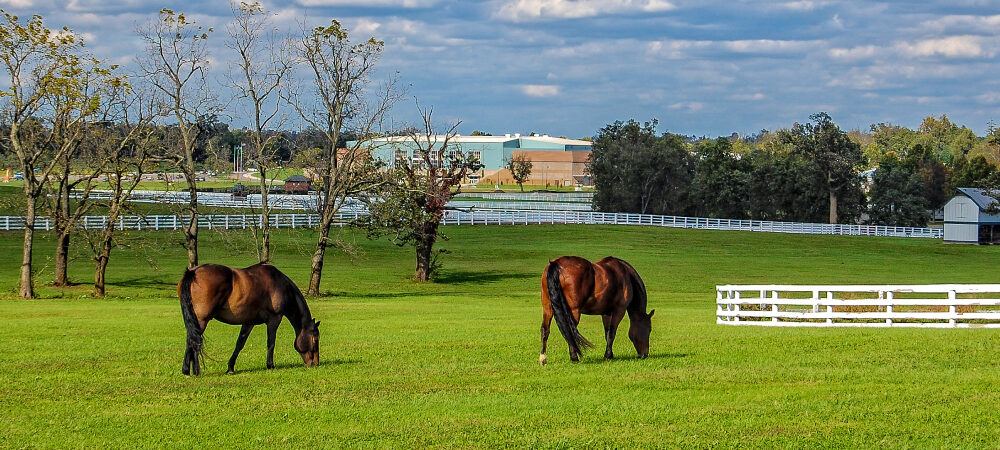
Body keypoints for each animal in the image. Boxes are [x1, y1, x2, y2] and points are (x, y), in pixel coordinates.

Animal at [177, 263, 320, 376]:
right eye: (315, 339)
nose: (315, 363)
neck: (280, 285)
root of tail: (193, 272)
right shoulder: (274, 319)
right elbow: (271, 342)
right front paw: (270, 365)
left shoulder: (248, 322)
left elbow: (240, 344)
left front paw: (230, 368)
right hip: (201, 321)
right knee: (194, 341)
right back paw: (196, 371)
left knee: (190, 340)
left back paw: (186, 370)